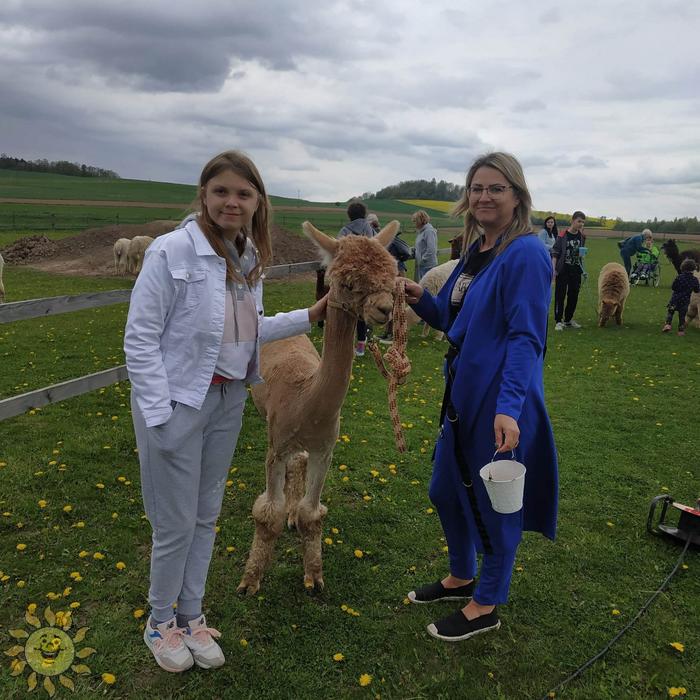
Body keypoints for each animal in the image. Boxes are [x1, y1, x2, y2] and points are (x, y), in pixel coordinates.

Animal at [237, 220, 399, 595]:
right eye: (348, 282)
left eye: (392, 277)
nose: (385, 310)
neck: (305, 401)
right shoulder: (277, 443)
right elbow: (267, 514)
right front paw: (251, 580)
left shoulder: (325, 447)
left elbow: (312, 514)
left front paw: (313, 576)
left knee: (299, 462)